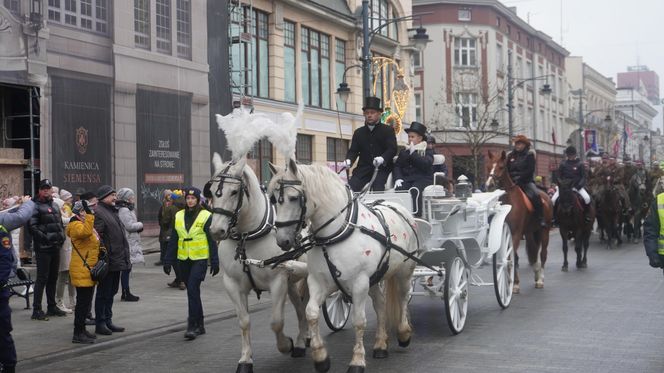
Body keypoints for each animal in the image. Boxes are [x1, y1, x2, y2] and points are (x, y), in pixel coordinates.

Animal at [205, 153, 308, 372]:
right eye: (212, 191)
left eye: (234, 191)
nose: (216, 231)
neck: (247, 236)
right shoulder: (232, 284)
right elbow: (244, 321)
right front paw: (245, 359)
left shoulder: (278, 281)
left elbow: (276, 322)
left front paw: (286, 344)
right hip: (292, 280)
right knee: (300, 308)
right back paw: (304, 338)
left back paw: (301, 342)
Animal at [268, 159, 418, 372]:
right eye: (273, 199)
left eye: (294, 197)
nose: (283, 241)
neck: (336, 233)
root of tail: (399, 207)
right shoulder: (318, 281)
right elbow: (311, 313)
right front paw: (320, 357)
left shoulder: (359, 283)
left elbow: (359, 321)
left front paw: (357, 360)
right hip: (375, 279)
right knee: (380, 305)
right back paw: (380, 344)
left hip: (405, 271)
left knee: (403, 297)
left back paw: (404, 333)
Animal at [486, 150, 552, 292]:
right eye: (488, 167)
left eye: (501, 167)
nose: (489, 185)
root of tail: (545, 195)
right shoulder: (506, 233)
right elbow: (512, 256)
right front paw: (514, 283)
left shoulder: (515, 233)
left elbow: (512, 256)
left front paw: (514, 283)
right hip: (530, 232)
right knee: (533, 252)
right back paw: (536, 274)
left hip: (544, 231)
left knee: (543, 253)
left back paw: (541, 279)